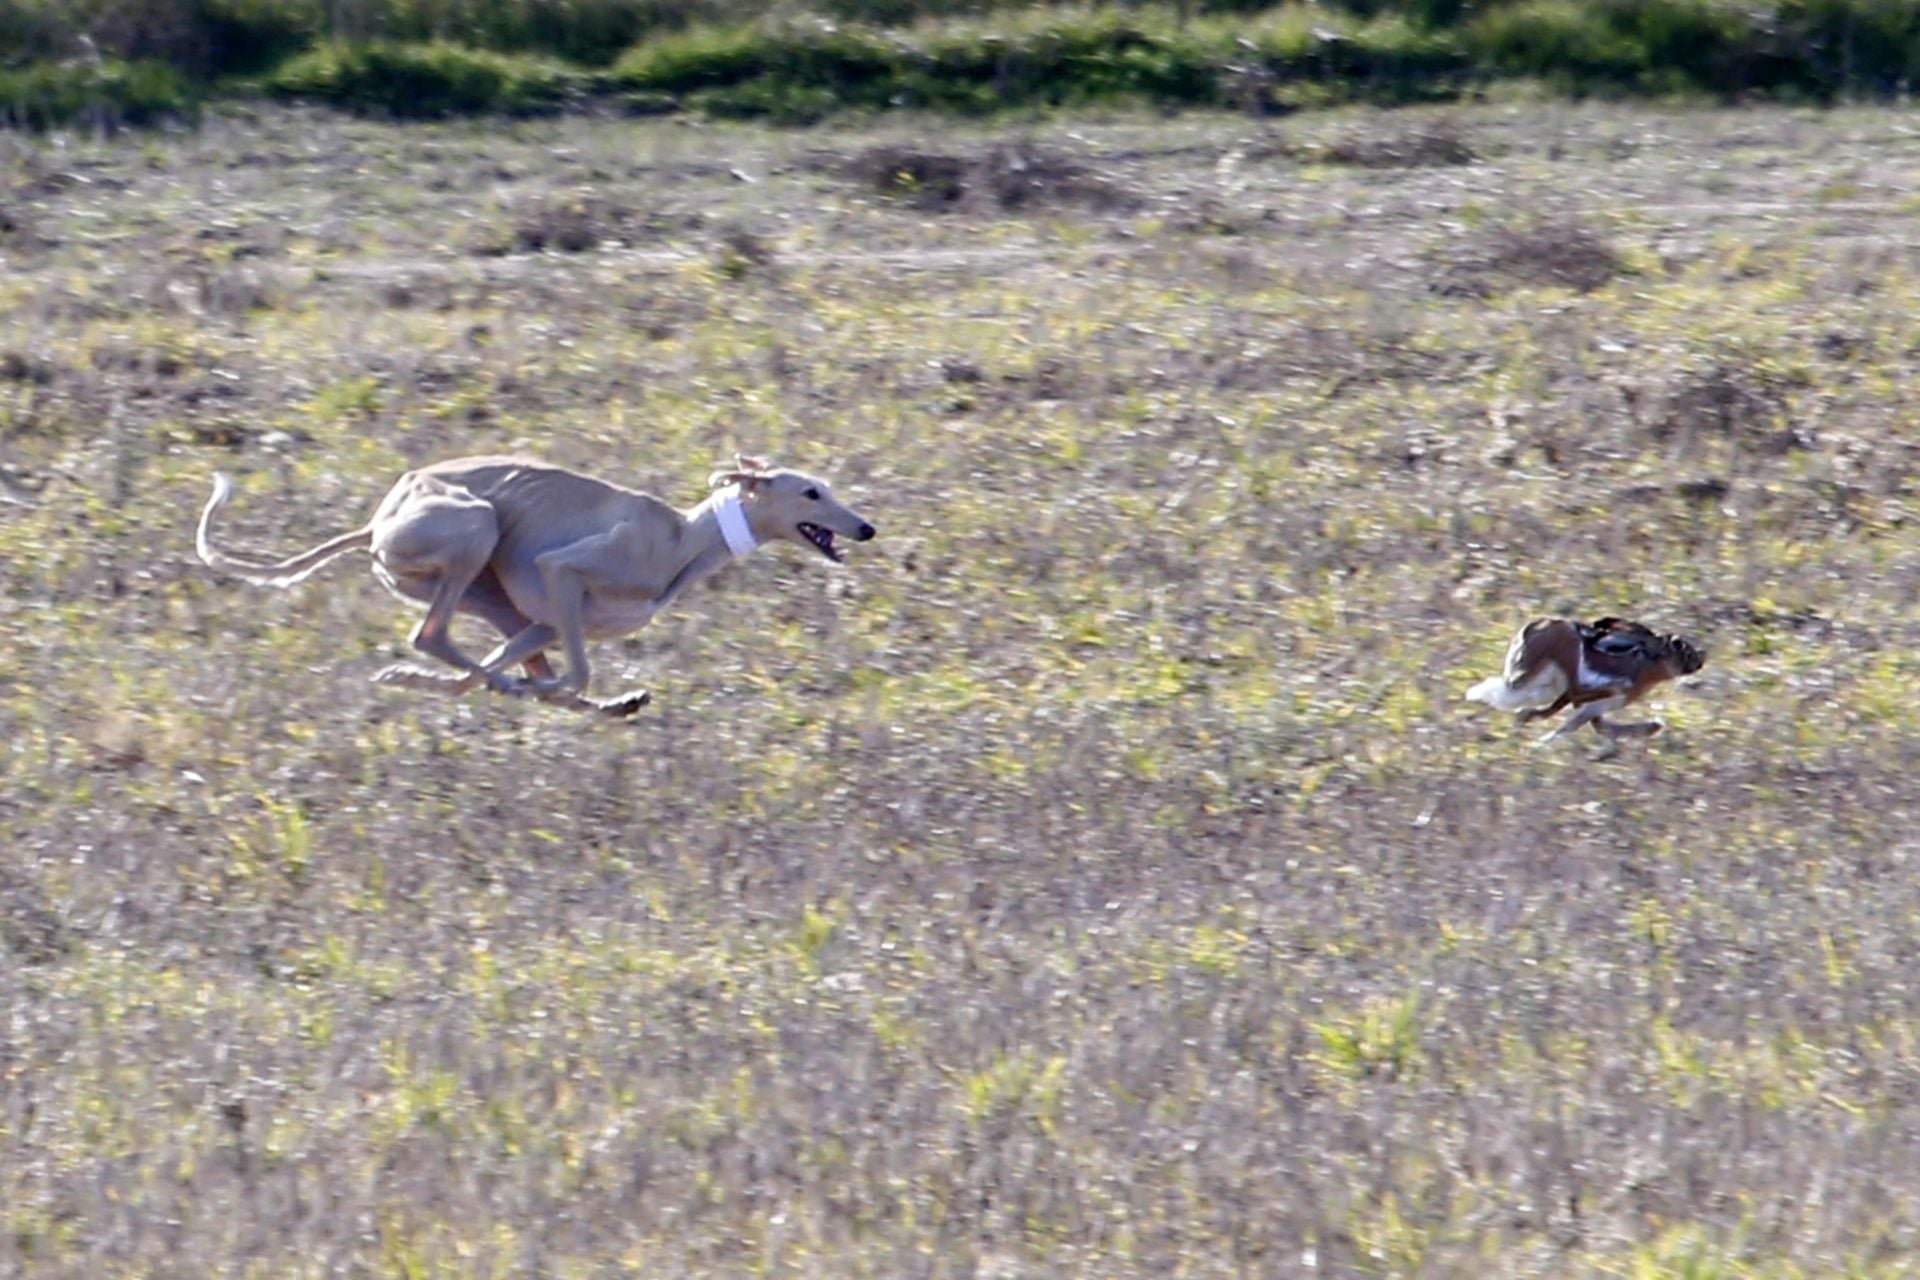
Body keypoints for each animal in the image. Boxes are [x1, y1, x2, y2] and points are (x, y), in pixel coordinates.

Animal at [196, 454, 879, 717]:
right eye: (810, 492)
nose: (867, 527)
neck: (682, 538)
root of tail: (377, 520)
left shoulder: (548, 620)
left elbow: (559, 675)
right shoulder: (563, 572)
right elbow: (575, 674)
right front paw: (538, 691)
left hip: (491, 594)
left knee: (461, 657)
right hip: (476, 526)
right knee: (432, 635)